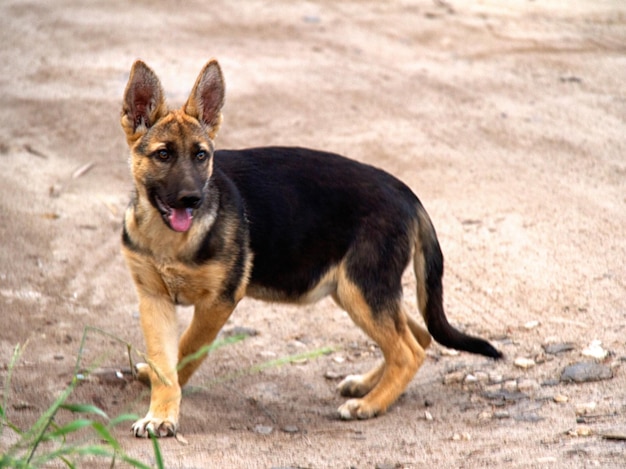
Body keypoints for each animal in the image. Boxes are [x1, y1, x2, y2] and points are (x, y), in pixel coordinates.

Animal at [119, 60, 500, 436]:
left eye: (201, 155)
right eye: (163, 154)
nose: (193, 200)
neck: (170, 238)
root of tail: (406, 193)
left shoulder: (219, 302)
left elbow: (187, 351)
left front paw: (165, 413)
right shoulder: (153, 299)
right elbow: (165, 360)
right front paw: (160, 410)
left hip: (360, 289)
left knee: (408, 351)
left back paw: (370, 404)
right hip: (354, 289)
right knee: (417, 336)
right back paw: (367, 385)